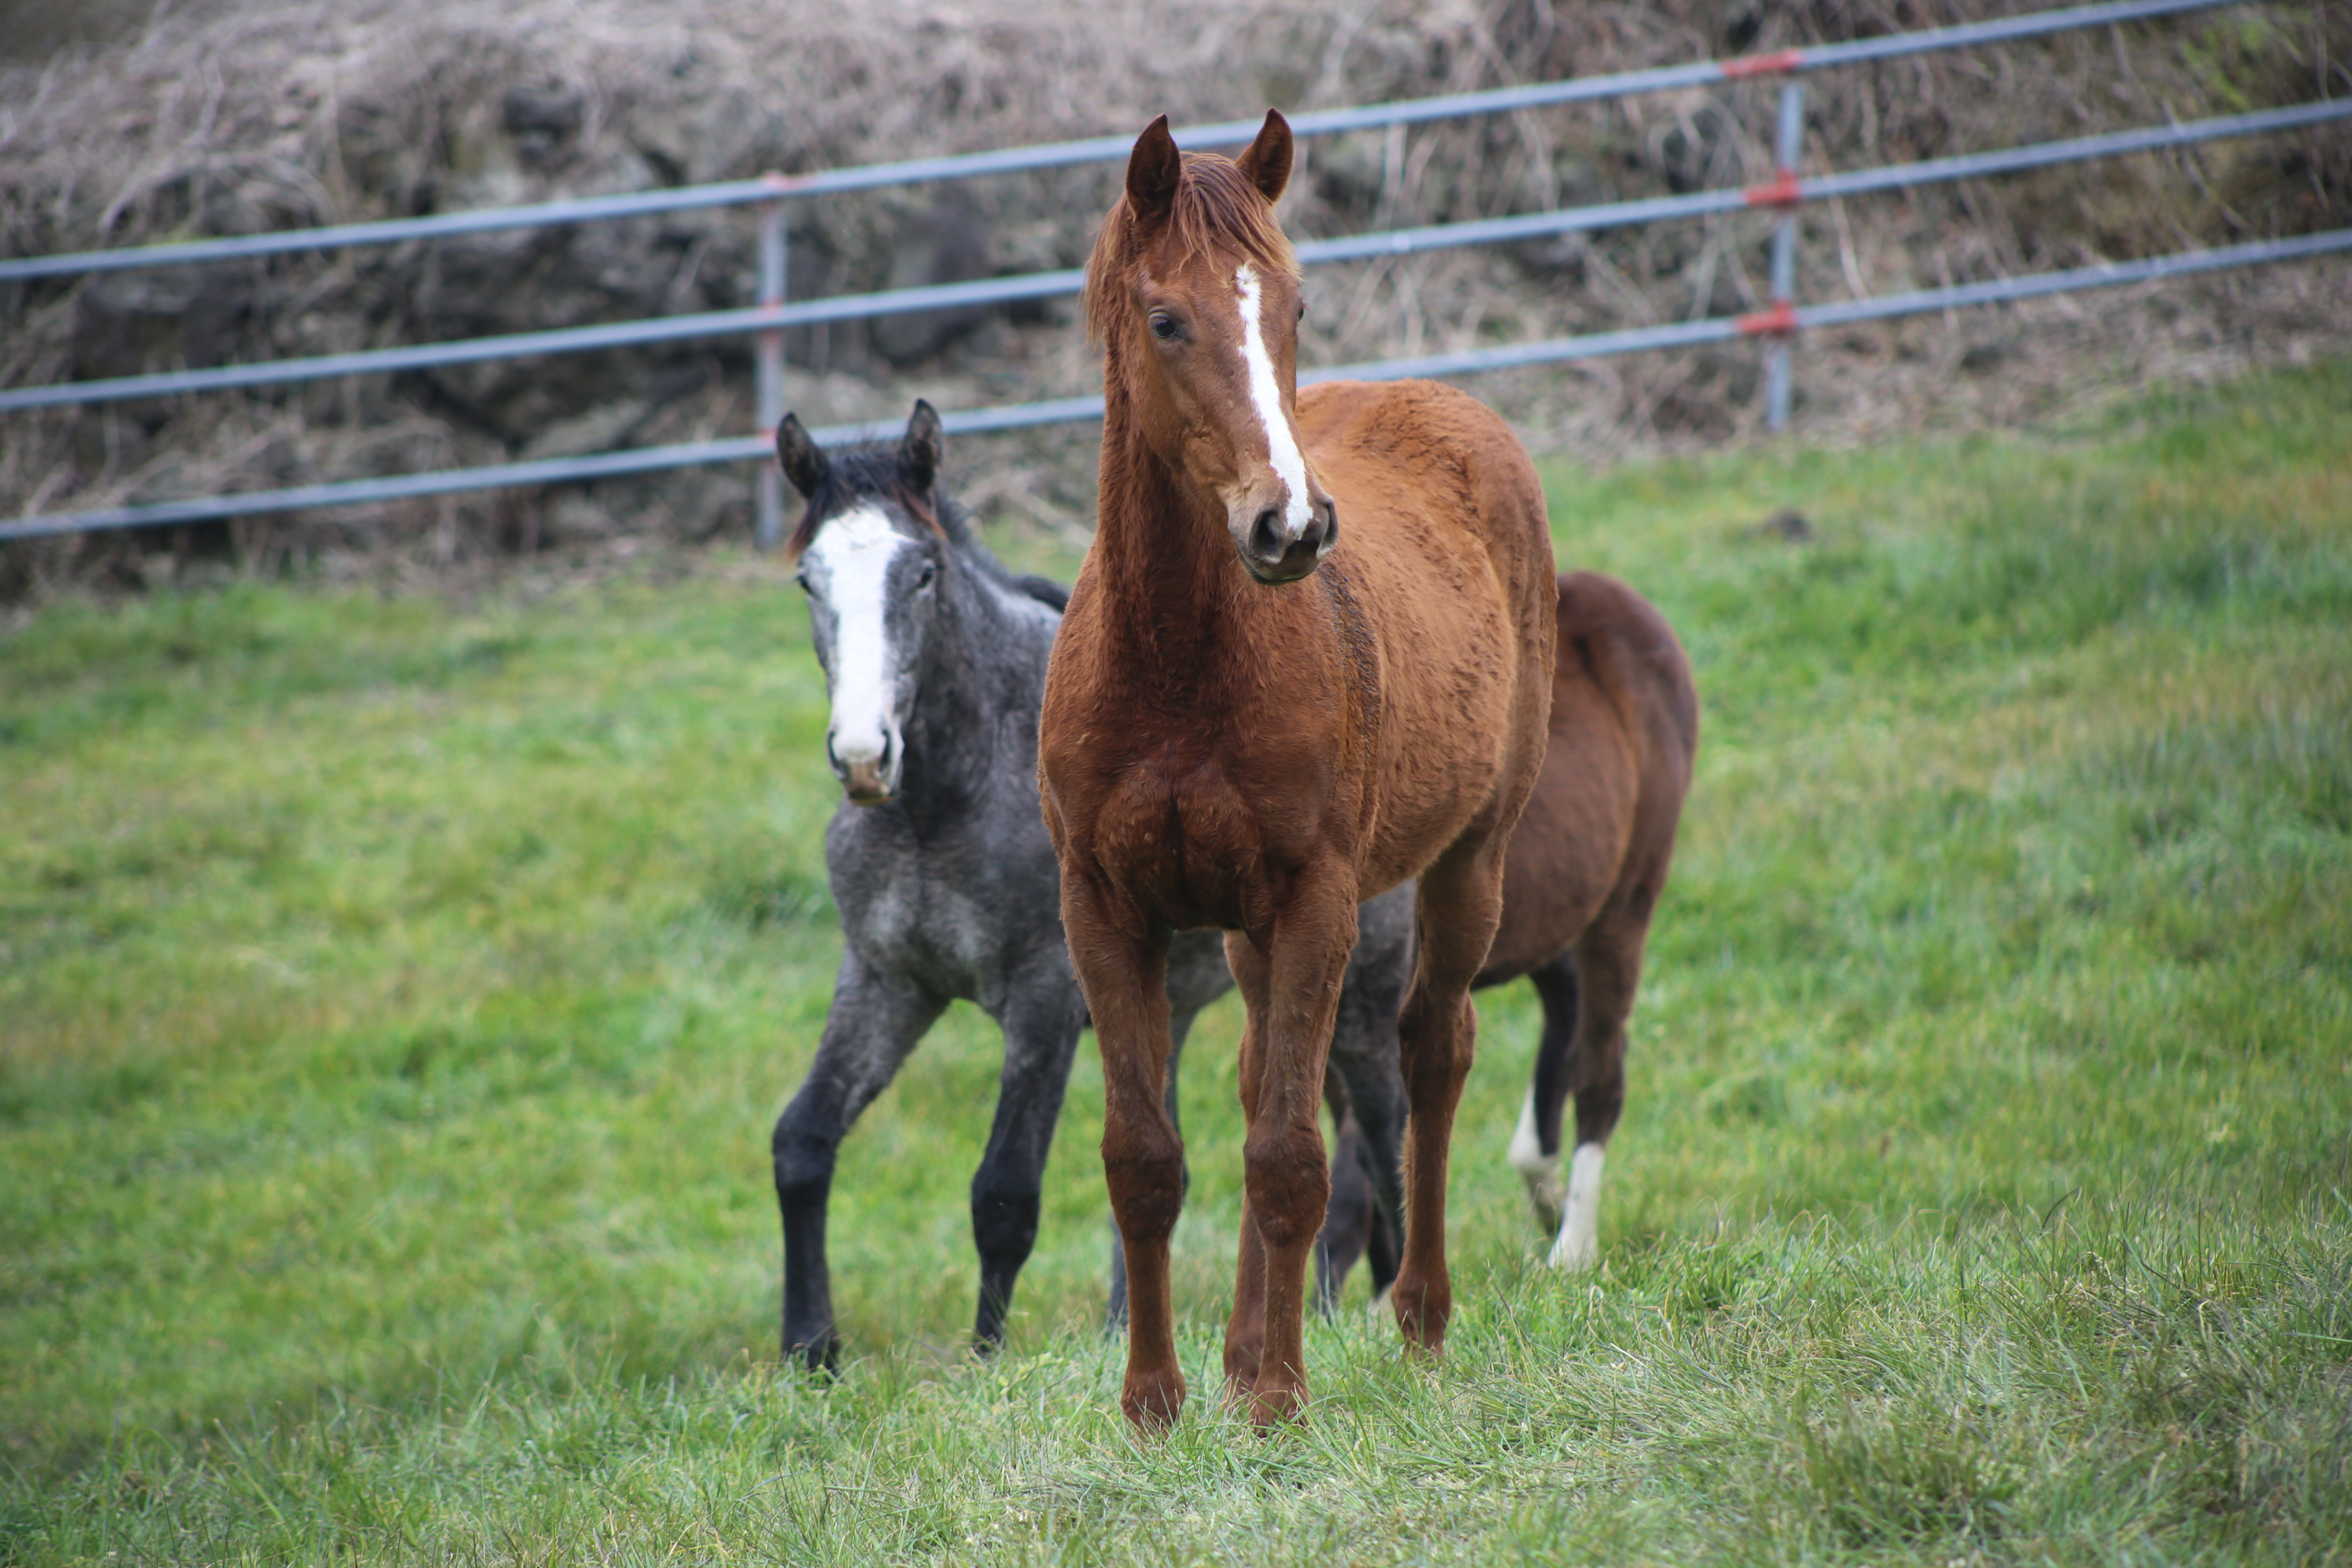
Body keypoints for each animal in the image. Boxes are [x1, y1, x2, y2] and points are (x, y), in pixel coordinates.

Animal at [766, 409, 1411, 1373]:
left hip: (1360, 990)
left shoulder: (1042, 998)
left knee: (1382, 1129)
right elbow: (802, 1145)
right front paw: (811, 1354)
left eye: (922, 573)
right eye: (810, 580)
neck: (946, 800)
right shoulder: (888, 984)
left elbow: (1004, 1195)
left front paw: (987, 1360)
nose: (863, 756)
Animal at [1035, 113, 1552, 1439]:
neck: (1176, 660)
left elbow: (1289, 1157)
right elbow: (1146, 1155)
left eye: (1294, 309)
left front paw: (1278, 1399)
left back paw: (1417, 1318)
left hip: (1471, 859)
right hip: (1245, 931)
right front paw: (1156, 1401)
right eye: (1167, 319)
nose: (1292, 526)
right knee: (1261, 1074)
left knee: (1432, 1051)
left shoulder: (1318, 896)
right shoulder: (1104, 909)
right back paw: (1232, 1351)